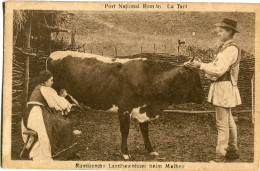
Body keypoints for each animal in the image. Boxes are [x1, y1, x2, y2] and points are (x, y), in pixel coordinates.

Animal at [47, 51, 204, 160]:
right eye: (192, 79)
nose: (203, 97)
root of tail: (52, 54)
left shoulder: (142, 110)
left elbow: (145, 131)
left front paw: (151, 150)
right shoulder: (124, 109)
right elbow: (125, 132)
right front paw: (125, 153)